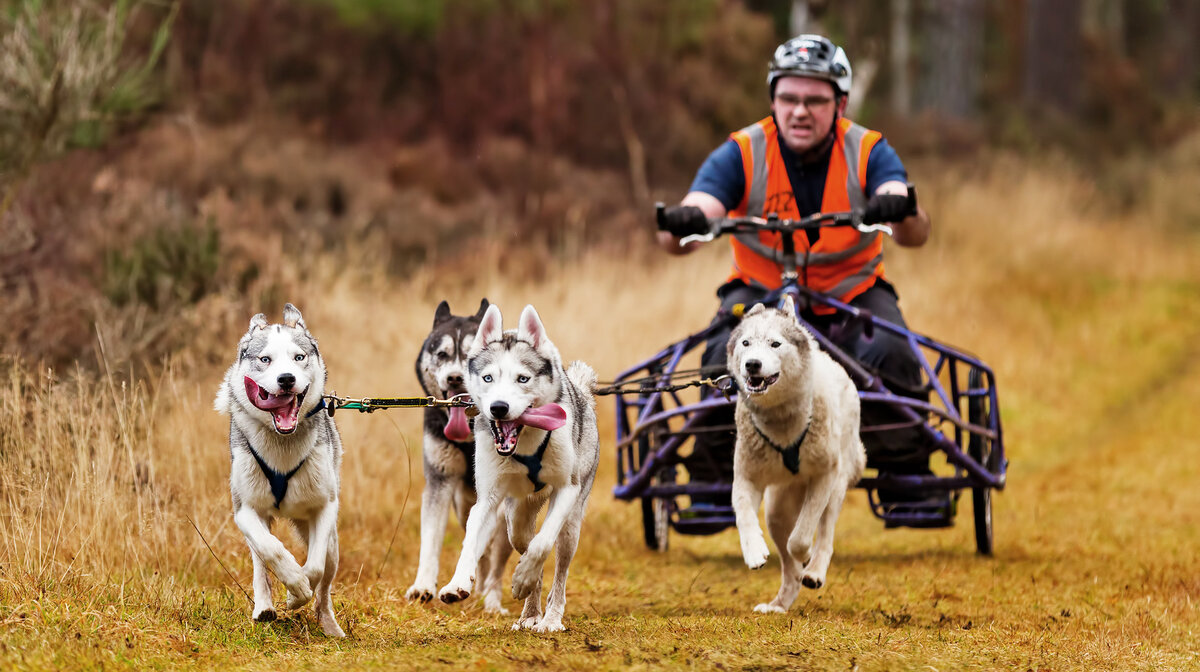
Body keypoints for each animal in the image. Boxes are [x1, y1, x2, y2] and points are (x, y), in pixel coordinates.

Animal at [213, 304, 345, 633]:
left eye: (299, 357)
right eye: (265, 359)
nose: (286, 379)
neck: (282, 443)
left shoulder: (325, 506)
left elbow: (315, 567)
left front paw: (297, 593)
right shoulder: (244, 509)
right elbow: (272, 551)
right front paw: (294, 585)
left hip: (333, 545)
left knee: (325, 584)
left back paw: (329, 624)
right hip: (255, 526)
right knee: (262, 558)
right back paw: (264, 607)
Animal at [405, 300, 513, 614]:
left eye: (469, 355)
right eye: (442, 354)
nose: (454, 377)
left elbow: (479, 543)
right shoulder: (439, 482)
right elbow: (430, 541)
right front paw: (423, 586)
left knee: (495, 564)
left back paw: (491, 601)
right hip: (462, 504)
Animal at [439, 303, 597, 628]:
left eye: (522, 379)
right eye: (488, 378)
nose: (498, 407)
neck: (525, 445)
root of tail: (581, 391)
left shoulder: (567, 490)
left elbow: (543, 543)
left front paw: (523, 578)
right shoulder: (486, 500)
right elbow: (471, 540)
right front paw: (457, 583)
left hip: (571, 526)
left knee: (557, 563)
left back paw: (550, 617)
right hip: (515, 521)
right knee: (526, 543)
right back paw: (531, 613)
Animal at [720, 296, 864, 612]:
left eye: (775, 344)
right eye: (746, 343)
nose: (752, 364)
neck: (782, 423)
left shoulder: (824, 477)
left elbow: (801, 536)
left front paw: (805, 554)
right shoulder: (746, 477)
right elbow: (743, 514)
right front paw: (754, 551)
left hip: (836, 489)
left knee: (824, 535)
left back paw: (814, 570)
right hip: (776, 511)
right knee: (788, 567)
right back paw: (779, 604)